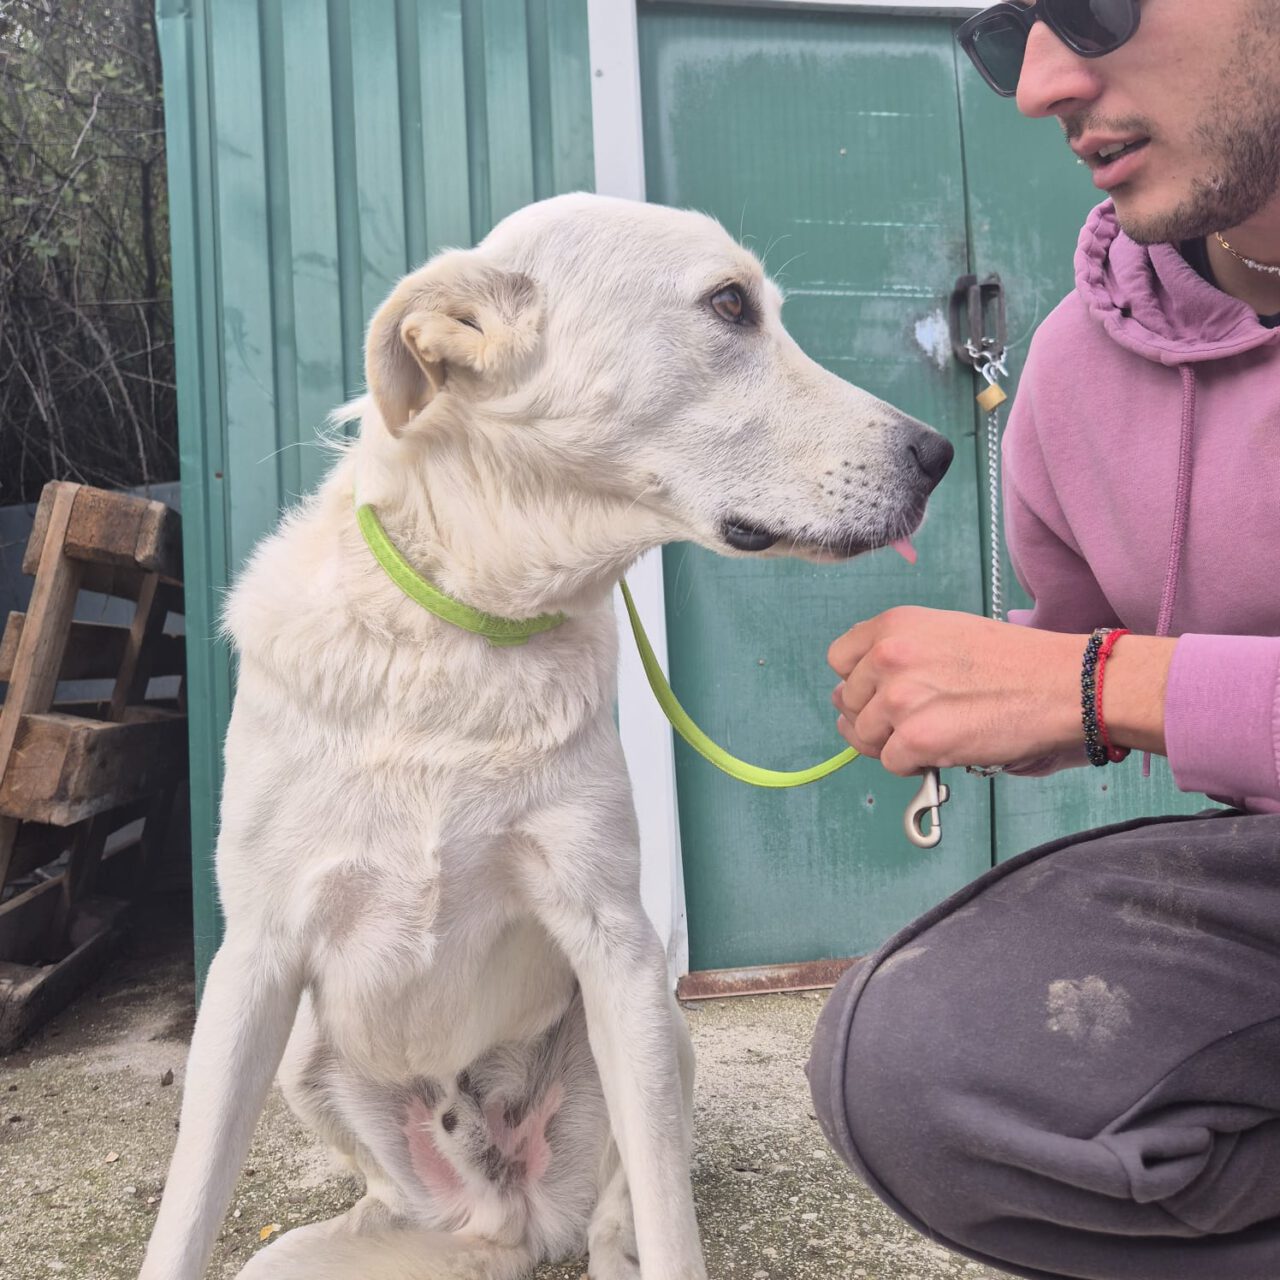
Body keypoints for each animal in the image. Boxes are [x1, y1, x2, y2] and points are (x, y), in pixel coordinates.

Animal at [137, 193, 952, 1280]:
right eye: (729, 305)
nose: (938, 455)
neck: (465, 634)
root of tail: (506, 1214)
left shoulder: (614, 943)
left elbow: (670, 1218)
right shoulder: (252, 964)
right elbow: (185, 1212)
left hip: (656, 1028)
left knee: (628, 1195)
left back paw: (606, 1240)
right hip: (310, 1054)